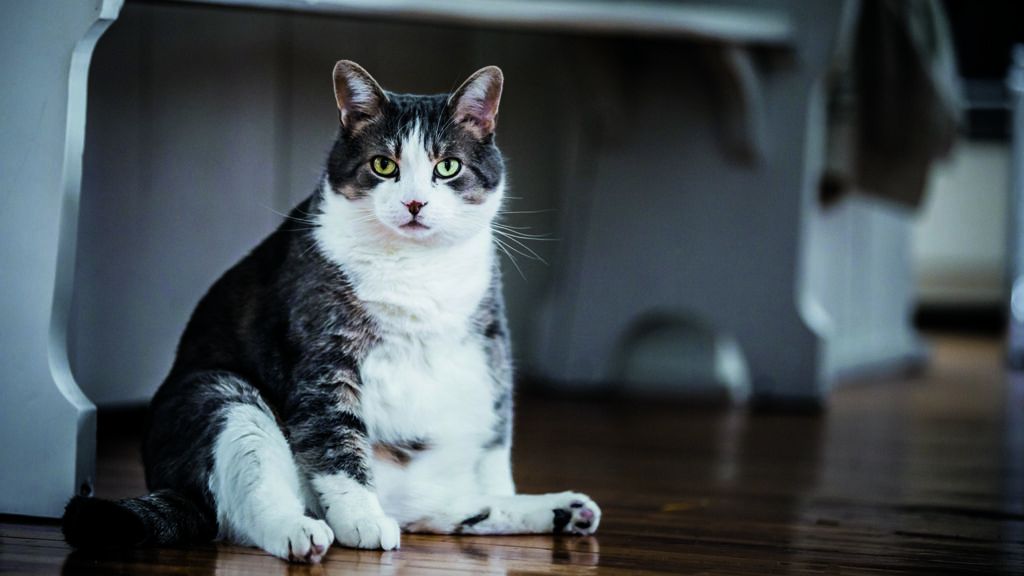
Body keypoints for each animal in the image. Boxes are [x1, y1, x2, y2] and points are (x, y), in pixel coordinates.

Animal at [61, 61, 598, 561]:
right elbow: (336, 440)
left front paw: (507, 492)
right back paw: (301, 531)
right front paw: (362, 519)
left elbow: (495, 441)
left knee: (446, 509)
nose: (415, 203)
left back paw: (562, 509)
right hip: (219, 395)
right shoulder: (324, 354)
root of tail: (173, 486)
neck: (416, 269)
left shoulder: (490, 343)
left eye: (448, 167)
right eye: (383, 165)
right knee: (242, 510)